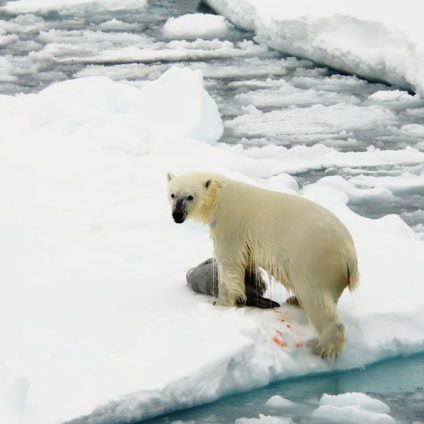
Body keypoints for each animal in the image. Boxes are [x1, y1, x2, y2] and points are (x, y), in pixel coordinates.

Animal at [167, 172, 360, 358]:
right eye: (172, 194)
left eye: (190, 196)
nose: (177, 215)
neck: (221, 196)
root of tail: (350, 257)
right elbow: (247, 262)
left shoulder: (231, 224)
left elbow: (229, 262)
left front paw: (220, 303)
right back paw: (295, 300)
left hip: (316, 262)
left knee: (317, 299)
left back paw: (321, 347)